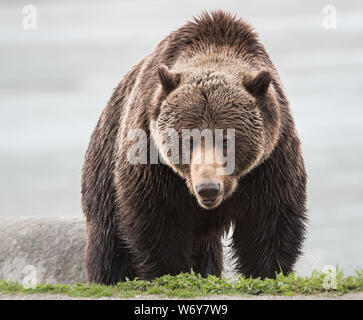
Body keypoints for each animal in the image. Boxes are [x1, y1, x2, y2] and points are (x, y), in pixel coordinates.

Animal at [82, 10, 308, 284]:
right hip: (104, 179)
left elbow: (269, 220)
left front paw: (265, 271)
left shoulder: (271, 158)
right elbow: (157, 222)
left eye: (226, 139)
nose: (208, 188)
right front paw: (170, 272)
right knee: (108, 247)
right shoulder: (152, 160)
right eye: (187, 139)